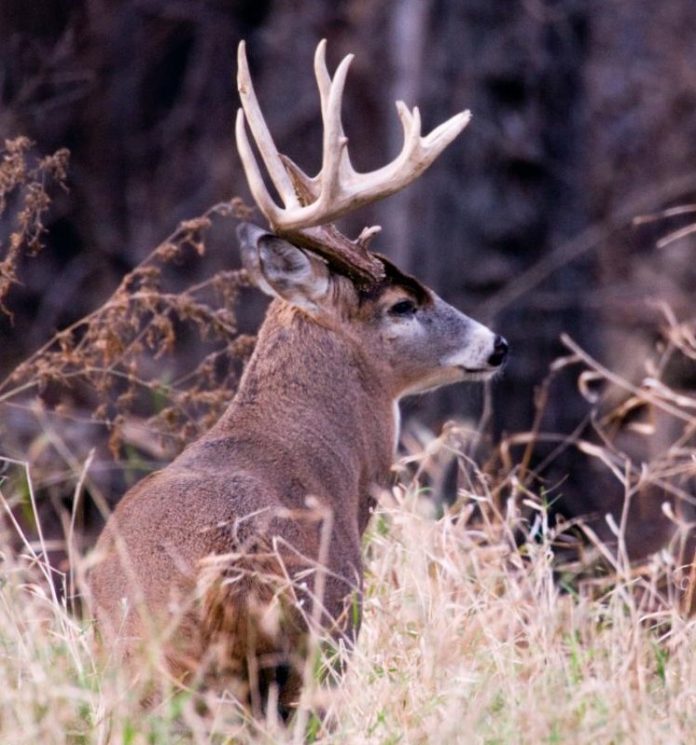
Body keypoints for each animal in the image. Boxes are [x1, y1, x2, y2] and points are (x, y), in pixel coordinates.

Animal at [88, 40, 509, 715]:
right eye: (403, 304)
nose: (497, 345)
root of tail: (228, 570)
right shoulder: (345, 621)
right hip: (310, 648)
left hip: (133, 661)